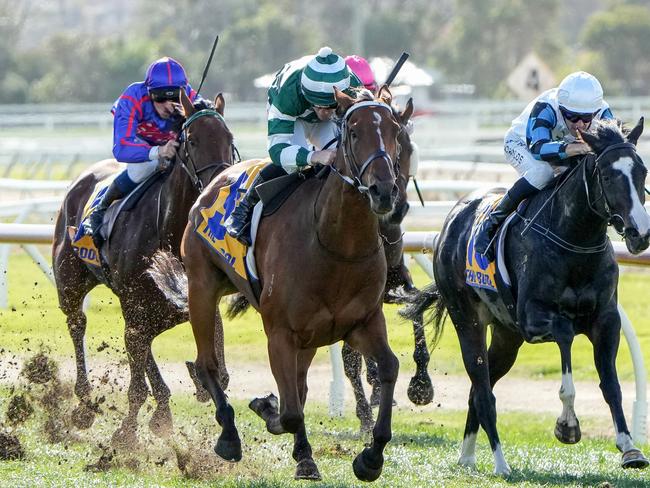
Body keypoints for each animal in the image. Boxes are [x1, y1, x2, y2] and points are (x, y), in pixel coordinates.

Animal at [51, 90, 233, 446]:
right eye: (192, 140)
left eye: (228, 139)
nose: (219, 186)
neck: (167, 230)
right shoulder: (135, 301)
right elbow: (136, 369)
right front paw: (126, 433)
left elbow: (215, 358)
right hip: (70, 283)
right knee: (78, 324)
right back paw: (85, 401)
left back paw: (161, 408)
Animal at [152, 87, 402, 480]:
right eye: (354, 132)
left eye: (395, 130)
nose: (384, 191)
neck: (335, 244)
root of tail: (215, 180)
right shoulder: (281, 333)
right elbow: (289, 411)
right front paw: (289, 438)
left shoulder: (362, 322)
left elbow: (388, 367)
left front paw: (370, 458)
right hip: (201, 287)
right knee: (208, 363)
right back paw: (229, 436)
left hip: (311, 335)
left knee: (297, 383)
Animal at [402, 119, 644, 476]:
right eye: (609, 176)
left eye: (642, 171)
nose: (641, 234)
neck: (575, 242)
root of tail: (452, 218)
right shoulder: (533, 320)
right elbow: (566, 336)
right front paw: (567, 425)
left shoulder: (606, 320)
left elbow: (611, 384)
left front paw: (630, 449)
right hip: (468, 319)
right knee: (484, 393)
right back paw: (501, 464)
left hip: (506, 336)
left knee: (478, 391)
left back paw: (467, 458)